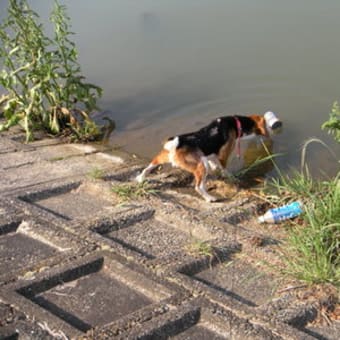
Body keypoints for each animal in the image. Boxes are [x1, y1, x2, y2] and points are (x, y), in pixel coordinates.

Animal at [135, 115, 268, 202]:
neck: (234, 123)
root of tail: (176, 145)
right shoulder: (223, 156)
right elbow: (224, 169)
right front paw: (231, 177)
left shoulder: (212, 154)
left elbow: (214, 162)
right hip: (202, 165)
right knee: (198, 187)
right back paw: (210, 198)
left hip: (163, 157)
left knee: (148, 167)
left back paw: (140, 178)